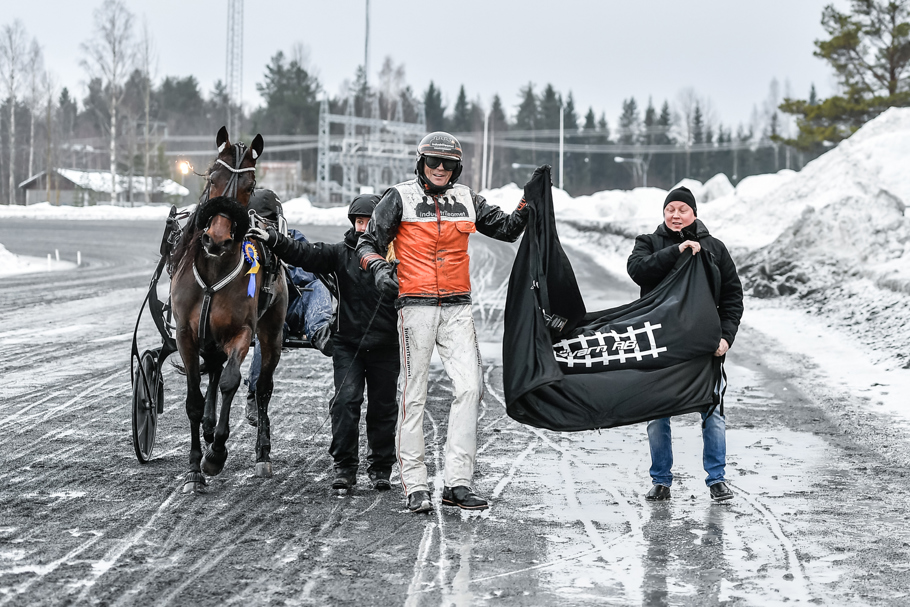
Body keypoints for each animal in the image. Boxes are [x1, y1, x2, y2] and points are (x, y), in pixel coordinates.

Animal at [169, 126, 288, 493]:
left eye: (249, 185)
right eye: (213, 178)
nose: (217, 239)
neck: (213, 271)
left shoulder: (241, 331)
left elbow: (231, 381)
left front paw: (216, 454)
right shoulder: (186, 334)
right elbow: (195, 398)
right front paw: (194, 468)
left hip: (272, 332)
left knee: (261, 389)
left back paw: (262, 454)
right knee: (214, 369)